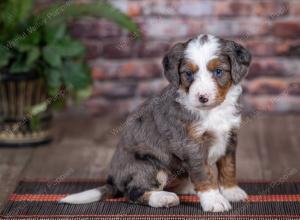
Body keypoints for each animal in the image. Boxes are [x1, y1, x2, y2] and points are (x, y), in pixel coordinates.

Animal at [60, 34, 251, 211]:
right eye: (188, 73)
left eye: (218, 71)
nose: (202, 98)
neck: (213, 111)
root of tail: (114, 181)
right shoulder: (191, 143)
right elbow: (203, 173)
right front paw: (214, 200)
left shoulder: (230, 136)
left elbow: (228, 166)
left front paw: (231, 191)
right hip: (148, 165)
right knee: (133, 192)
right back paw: (163, 198)